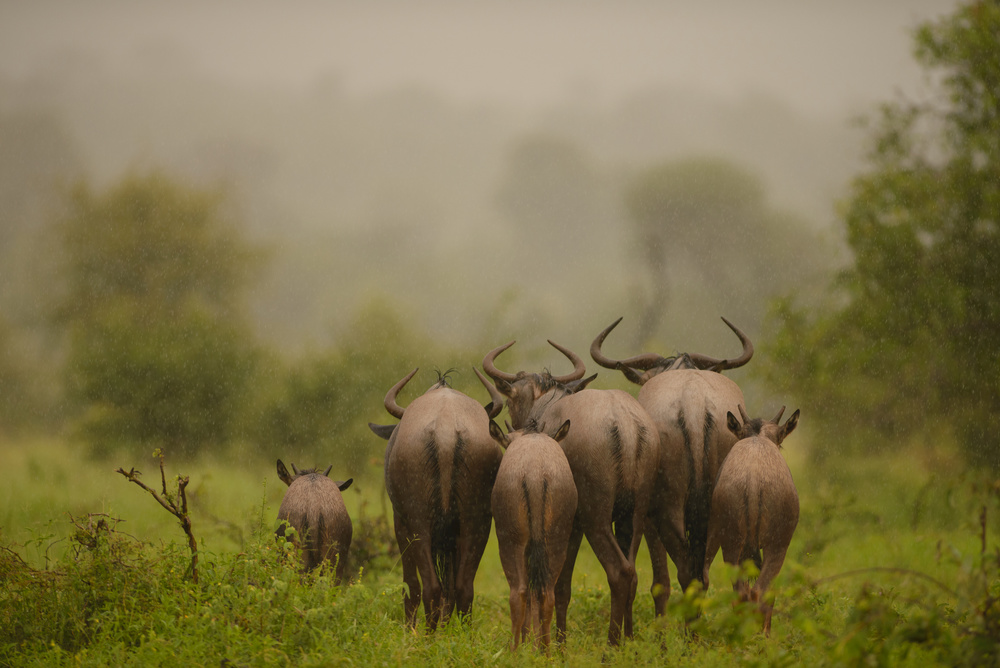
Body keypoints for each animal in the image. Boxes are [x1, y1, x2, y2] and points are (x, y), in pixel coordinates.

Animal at [488, 420, 576, 656]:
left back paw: (514, 652)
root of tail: (535, 475)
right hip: (556, 540)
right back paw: (546, 653)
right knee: (547, 593)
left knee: (518, 593)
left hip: (511, 541)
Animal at [708, 404, 800, 636]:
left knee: (741, 592)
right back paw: (761, 635)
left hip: (731, 544)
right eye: (781, 442)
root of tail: (753, 478)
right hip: (776, 545)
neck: (757, 437)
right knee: (761, 591)